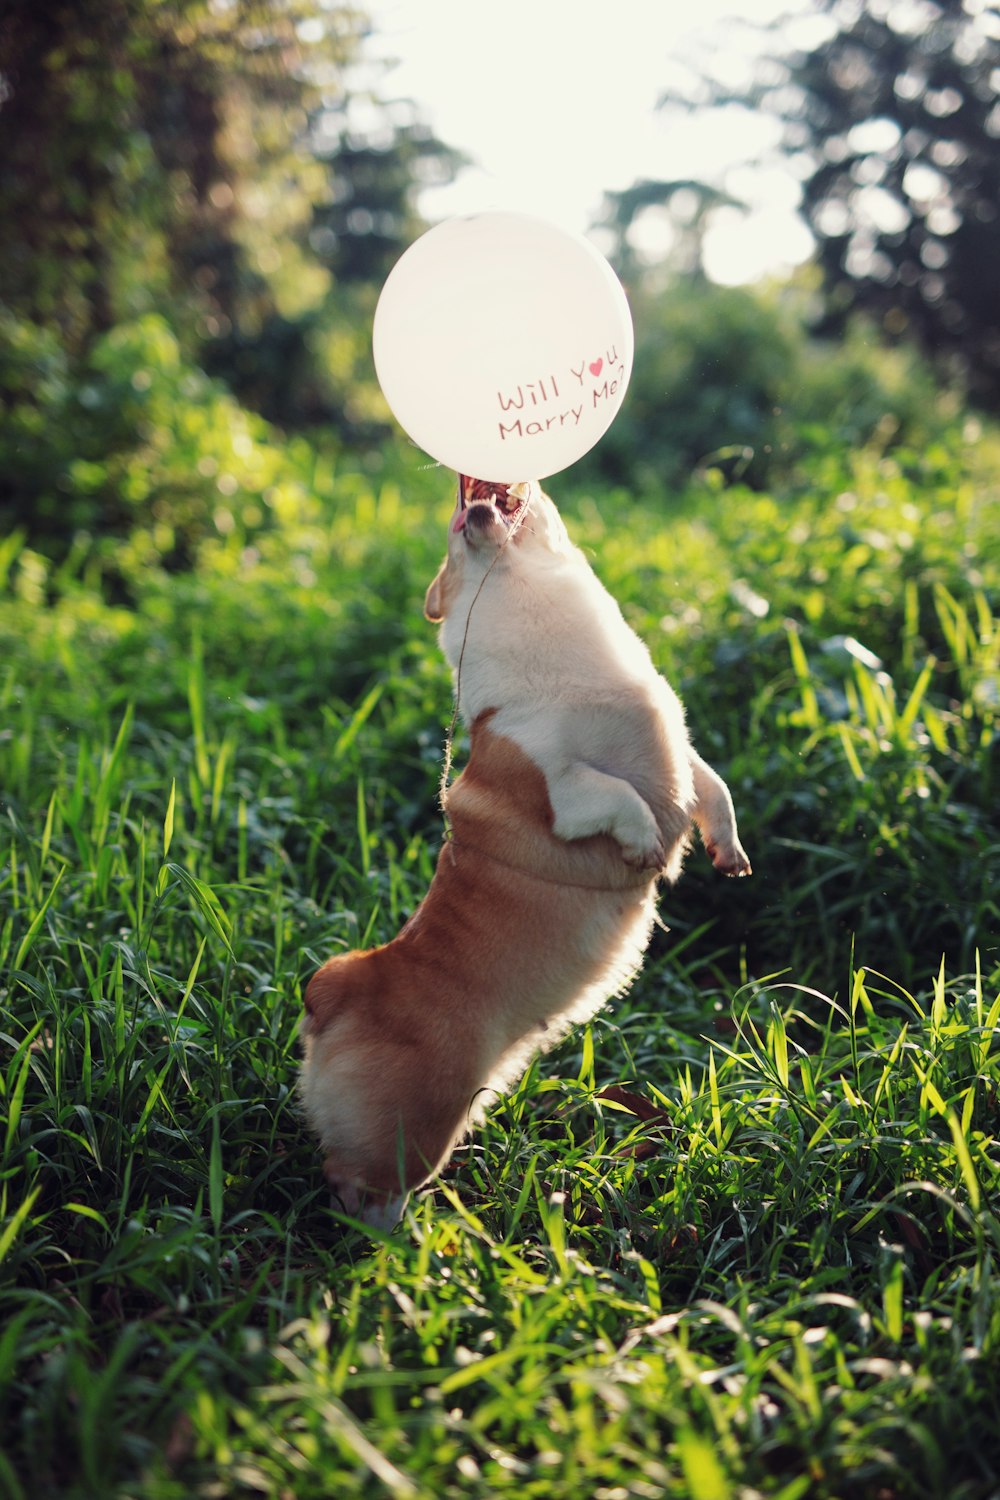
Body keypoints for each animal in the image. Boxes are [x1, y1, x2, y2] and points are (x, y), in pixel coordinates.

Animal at [301, 474, 755, 1224]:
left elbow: (709, 788)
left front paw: (729, 852)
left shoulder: (683, 761)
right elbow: (619, 797)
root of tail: (337, 988)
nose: (478, 504)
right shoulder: (563, 789)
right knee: (355, 1179)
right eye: (457, 529)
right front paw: (645, 847)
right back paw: (397, 1237)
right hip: (414, 1130)